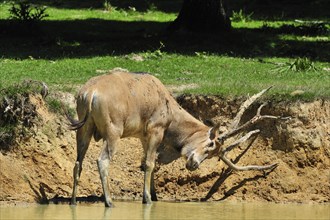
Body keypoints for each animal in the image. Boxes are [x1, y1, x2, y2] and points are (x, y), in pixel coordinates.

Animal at [67, 69, 284, 207]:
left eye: (213, 154)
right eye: (210, 144)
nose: (194, 164)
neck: (170, 111)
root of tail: (90, 93)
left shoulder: (143, 135)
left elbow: (146, 162)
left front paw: (154, 195)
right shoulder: (156, 130)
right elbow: (150, 164)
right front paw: (147, 199)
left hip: (84, 128)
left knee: (78, 163)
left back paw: (74, 200)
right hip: (113, 131)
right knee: (102, 160)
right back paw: (109, 201)